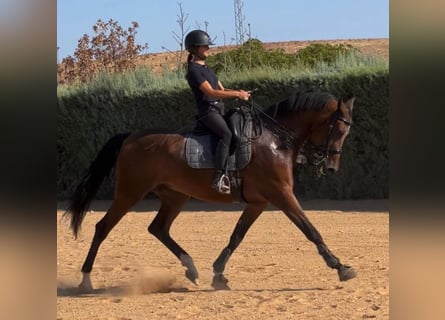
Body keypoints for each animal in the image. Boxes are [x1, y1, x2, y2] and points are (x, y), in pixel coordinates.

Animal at [62, 89, 356, 292]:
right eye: (338, 129)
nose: (331, 167)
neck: (274, 139)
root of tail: (130, 137)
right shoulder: (281, 194)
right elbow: (310, 230)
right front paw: (341, 267)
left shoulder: (258, 203)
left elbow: (236, 236)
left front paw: (218, 274)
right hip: (129, 193)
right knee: (103, 227)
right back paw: (86, 280)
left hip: (175, 196)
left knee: (158, 228)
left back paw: (191, 269)